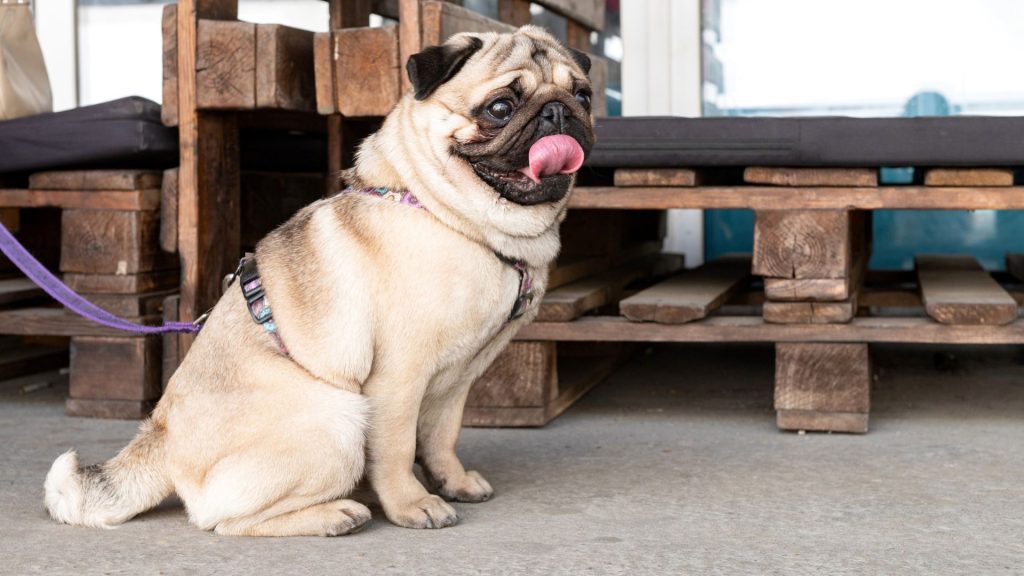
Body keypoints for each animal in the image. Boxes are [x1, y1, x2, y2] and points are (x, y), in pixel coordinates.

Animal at [44, 24, 598, 537]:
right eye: (501, 108)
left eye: (584, 95)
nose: (558, 112)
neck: (458, 220)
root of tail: (159, 436)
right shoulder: (399, 376)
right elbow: (398, 449)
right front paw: (412, 504)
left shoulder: (458, 380)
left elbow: (442, 439)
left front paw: (453, 482)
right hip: (338, 416)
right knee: (222, 521)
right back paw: (336, 513)